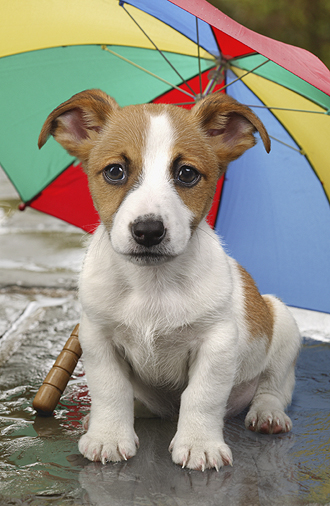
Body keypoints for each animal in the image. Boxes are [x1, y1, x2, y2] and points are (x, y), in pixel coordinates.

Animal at [37, 90, 300, 470]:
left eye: (186, 174)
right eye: (115, 171)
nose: (148, 231)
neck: (153, 285)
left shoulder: (216, 343)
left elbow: (202, 396)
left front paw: (199, 444)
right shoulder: (97, 337)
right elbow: (110, 389)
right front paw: (108, 436)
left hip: (282, 323)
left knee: (274, 387)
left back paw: (268, 414)